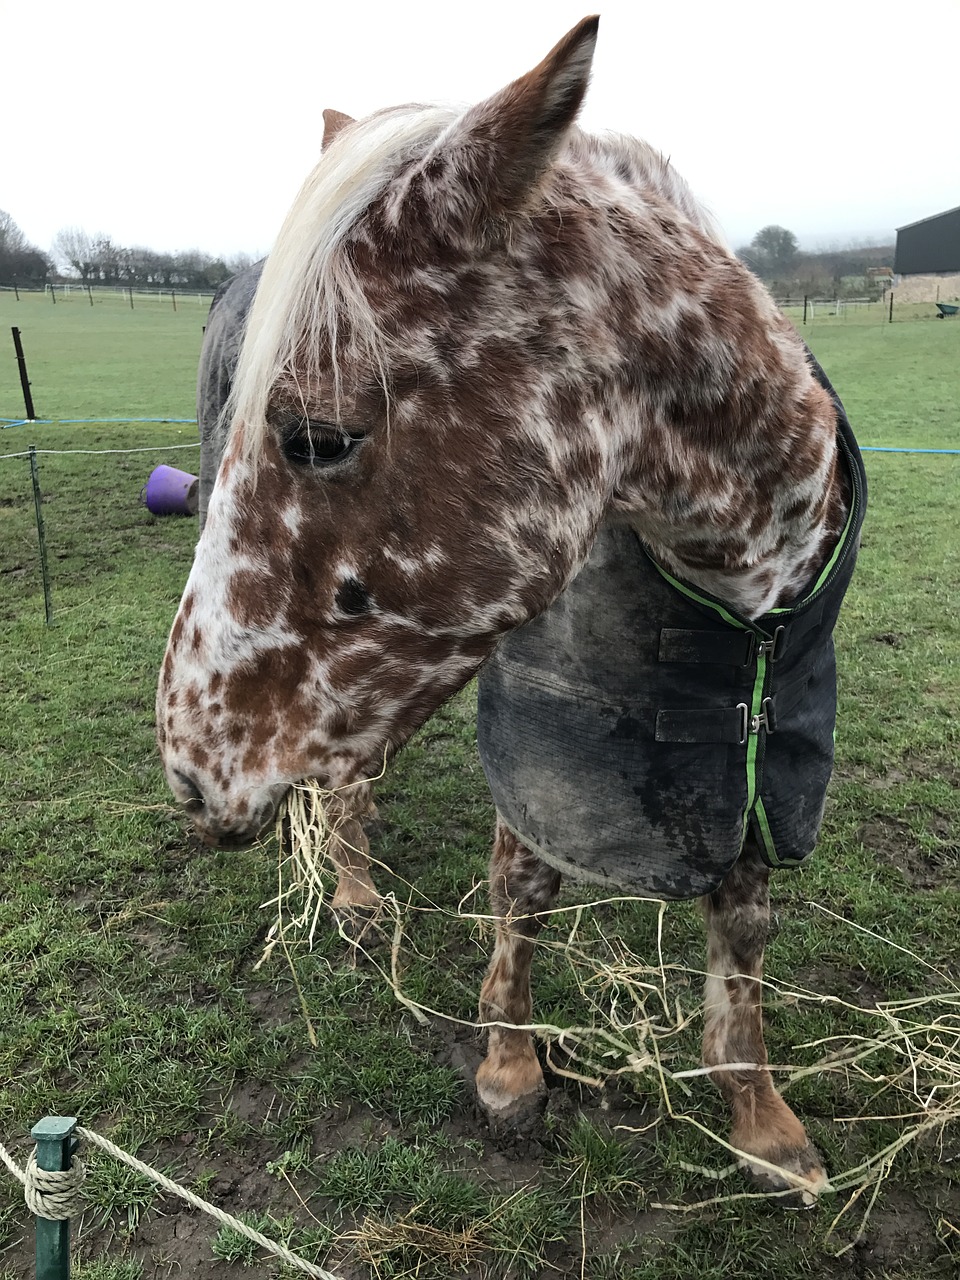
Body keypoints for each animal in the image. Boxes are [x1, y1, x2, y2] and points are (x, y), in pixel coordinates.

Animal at [158, 17, 865, 1198]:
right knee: (350, 789)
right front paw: (510, 1066)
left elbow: (743, 927)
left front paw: (763, 1120)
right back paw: (354, 892)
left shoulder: (756, 754)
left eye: (317, 437)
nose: (186, 766)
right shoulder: (541, 734)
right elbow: (521, 889)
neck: (739, 594)